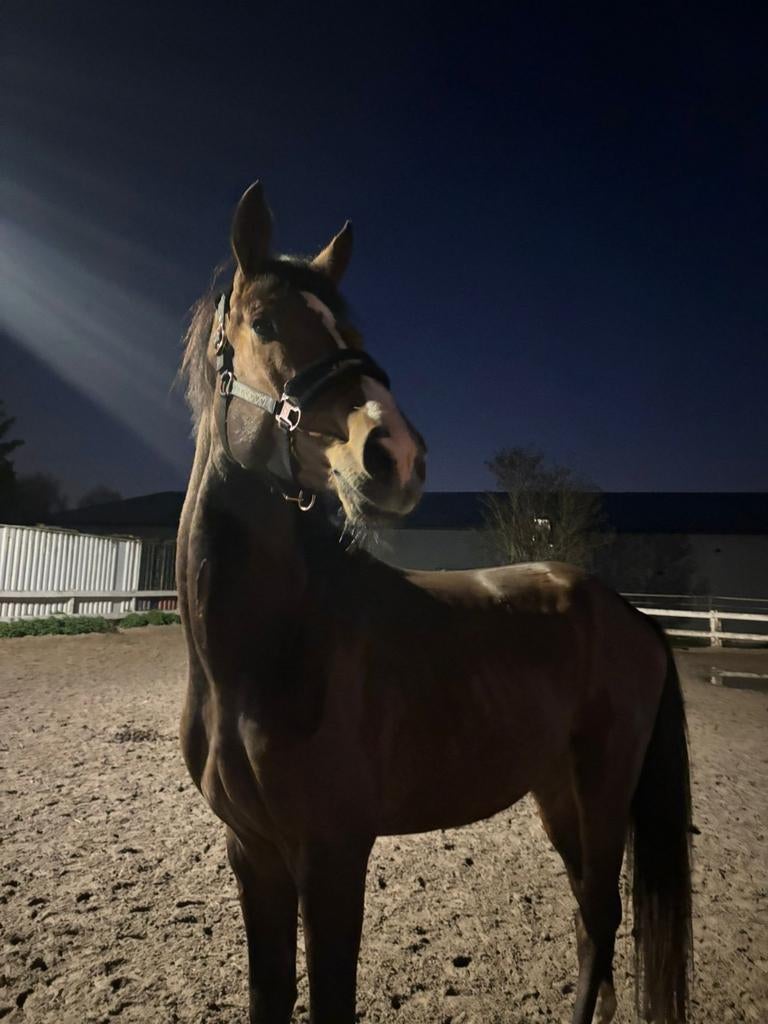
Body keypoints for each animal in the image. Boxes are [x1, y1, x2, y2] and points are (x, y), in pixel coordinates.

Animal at [176, 181, 692, 1024]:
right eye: (264, 323)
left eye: (352, 329)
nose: (396, 455)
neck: (257, 657)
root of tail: (632, 617)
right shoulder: (253, 853)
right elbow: (268, 994)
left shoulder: (333, 856)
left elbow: (330, 999)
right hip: (558, 794)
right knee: (591, 925)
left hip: (602, 790)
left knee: (600, 915)